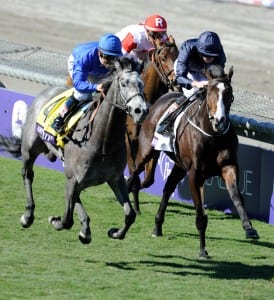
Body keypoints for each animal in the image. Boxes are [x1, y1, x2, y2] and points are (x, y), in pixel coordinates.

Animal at [0, 56, 149, 244]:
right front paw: (55, 220)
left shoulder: (115, 179)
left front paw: (115, 232)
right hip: (30, 149)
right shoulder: (73, 179)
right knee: (28, 175)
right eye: (124, 83)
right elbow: (67, 220)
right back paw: (28, 215)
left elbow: (130, 215)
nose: (141, 111)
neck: (102, 141)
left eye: (142, 84)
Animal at [126, 36, 180, 212]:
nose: (176, 80)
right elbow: (133, 169)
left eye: (178, 56)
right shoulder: (129, 139)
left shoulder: (153, 143)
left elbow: (147, 178)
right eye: (163, 58)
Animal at [126, 65, 260, 258]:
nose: (220, 121)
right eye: (210, 92)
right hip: (147, 151)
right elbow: (200, 216)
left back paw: (157, 226)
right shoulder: (195, 174)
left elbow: (237, 197)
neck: (212, 135)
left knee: (167, 188)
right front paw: (203, 250)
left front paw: (249, 228)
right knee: (134, 176)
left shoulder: (228, 167)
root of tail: (159, 101)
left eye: (229, 93)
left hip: (179, 166)